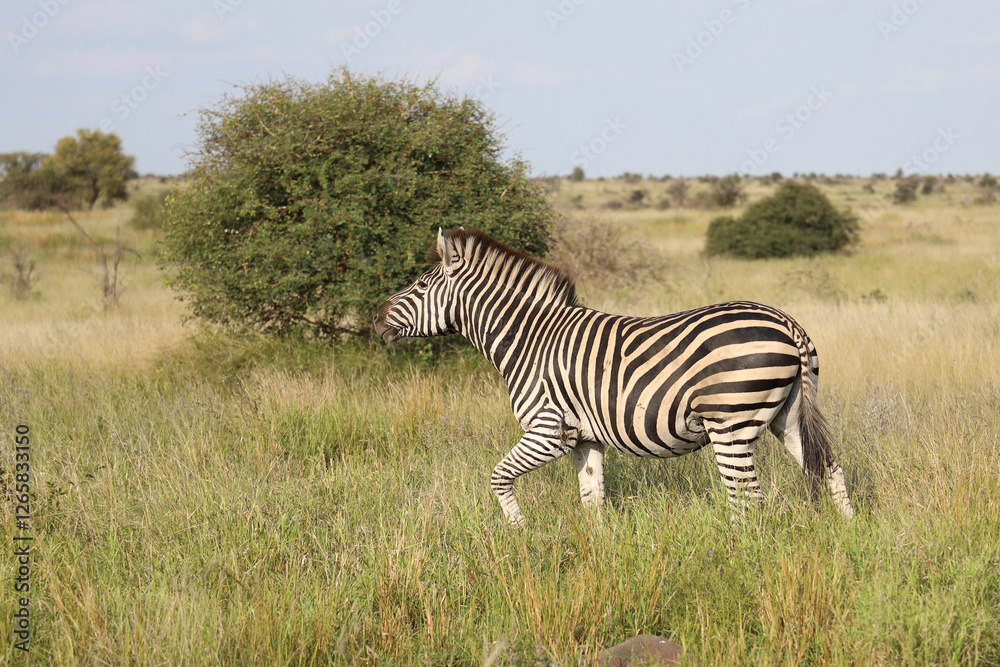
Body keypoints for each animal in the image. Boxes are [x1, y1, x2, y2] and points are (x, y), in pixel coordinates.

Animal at [373, 228, 854, 525]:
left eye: (420, 285)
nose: (376, 318)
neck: (529, 338)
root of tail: (787, 323)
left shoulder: (548, 431)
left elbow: (498, 477)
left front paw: (520, 532)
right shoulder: (584, 438)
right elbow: (593, 500)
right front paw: (599, 560)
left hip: (730, 423)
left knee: (746, 497)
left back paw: (739, 556)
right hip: (785, 416)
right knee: (828, 468)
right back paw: (846, 532)